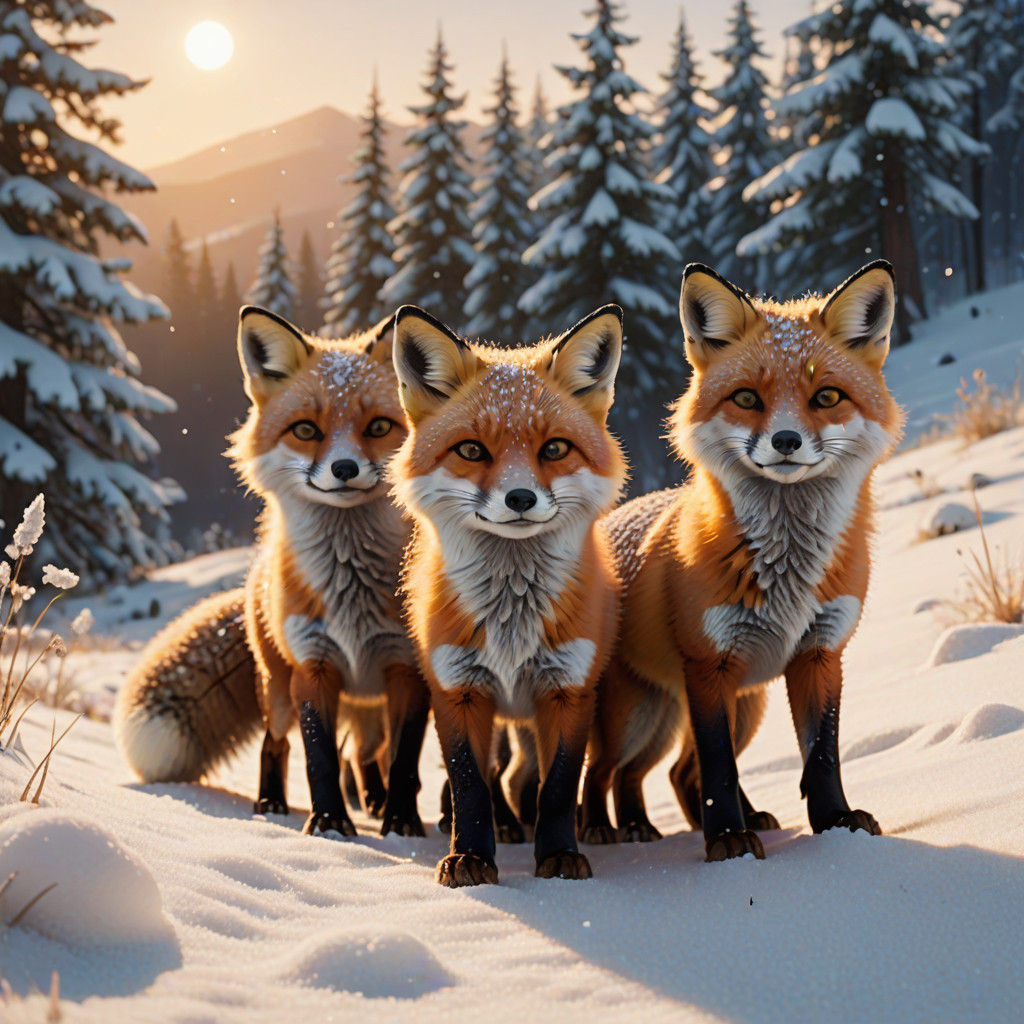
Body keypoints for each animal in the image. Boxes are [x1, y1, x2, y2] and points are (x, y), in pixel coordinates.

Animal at [115, 306, 430, 838]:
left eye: (379, 426)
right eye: (305, 430)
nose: (344, 469)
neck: (353, 594)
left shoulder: (409, 671)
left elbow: (404, 760)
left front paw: (401, 822)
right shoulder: (314, 667)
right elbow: (318, 758)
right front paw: (329, 824)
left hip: (366, 706)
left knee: (365, 755)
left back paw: (372, 801)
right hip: (281, 692)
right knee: (276, 744)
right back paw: (272, 804)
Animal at [390, 303, 626, 887]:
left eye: (555, 448)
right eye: (472, 450)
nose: (520, 498)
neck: (511, 622)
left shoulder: (568, 690)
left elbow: (558, 787)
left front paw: (558, 856)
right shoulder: (458, 691)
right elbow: (471, 785)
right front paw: (471, 857)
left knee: (528, 777)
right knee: (497, 775)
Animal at [579, 260, 903, 862]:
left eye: (827, 396)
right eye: (748, 398)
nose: (786, 440)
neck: (788, 570)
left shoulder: (820, 654)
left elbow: (821, 757)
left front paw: (835, 825)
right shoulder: (710, 667)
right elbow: (719, 769)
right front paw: (728, 840)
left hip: (740, 707)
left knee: (670, 773)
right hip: (634, 714)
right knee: (604, 769)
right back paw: (607, 829)